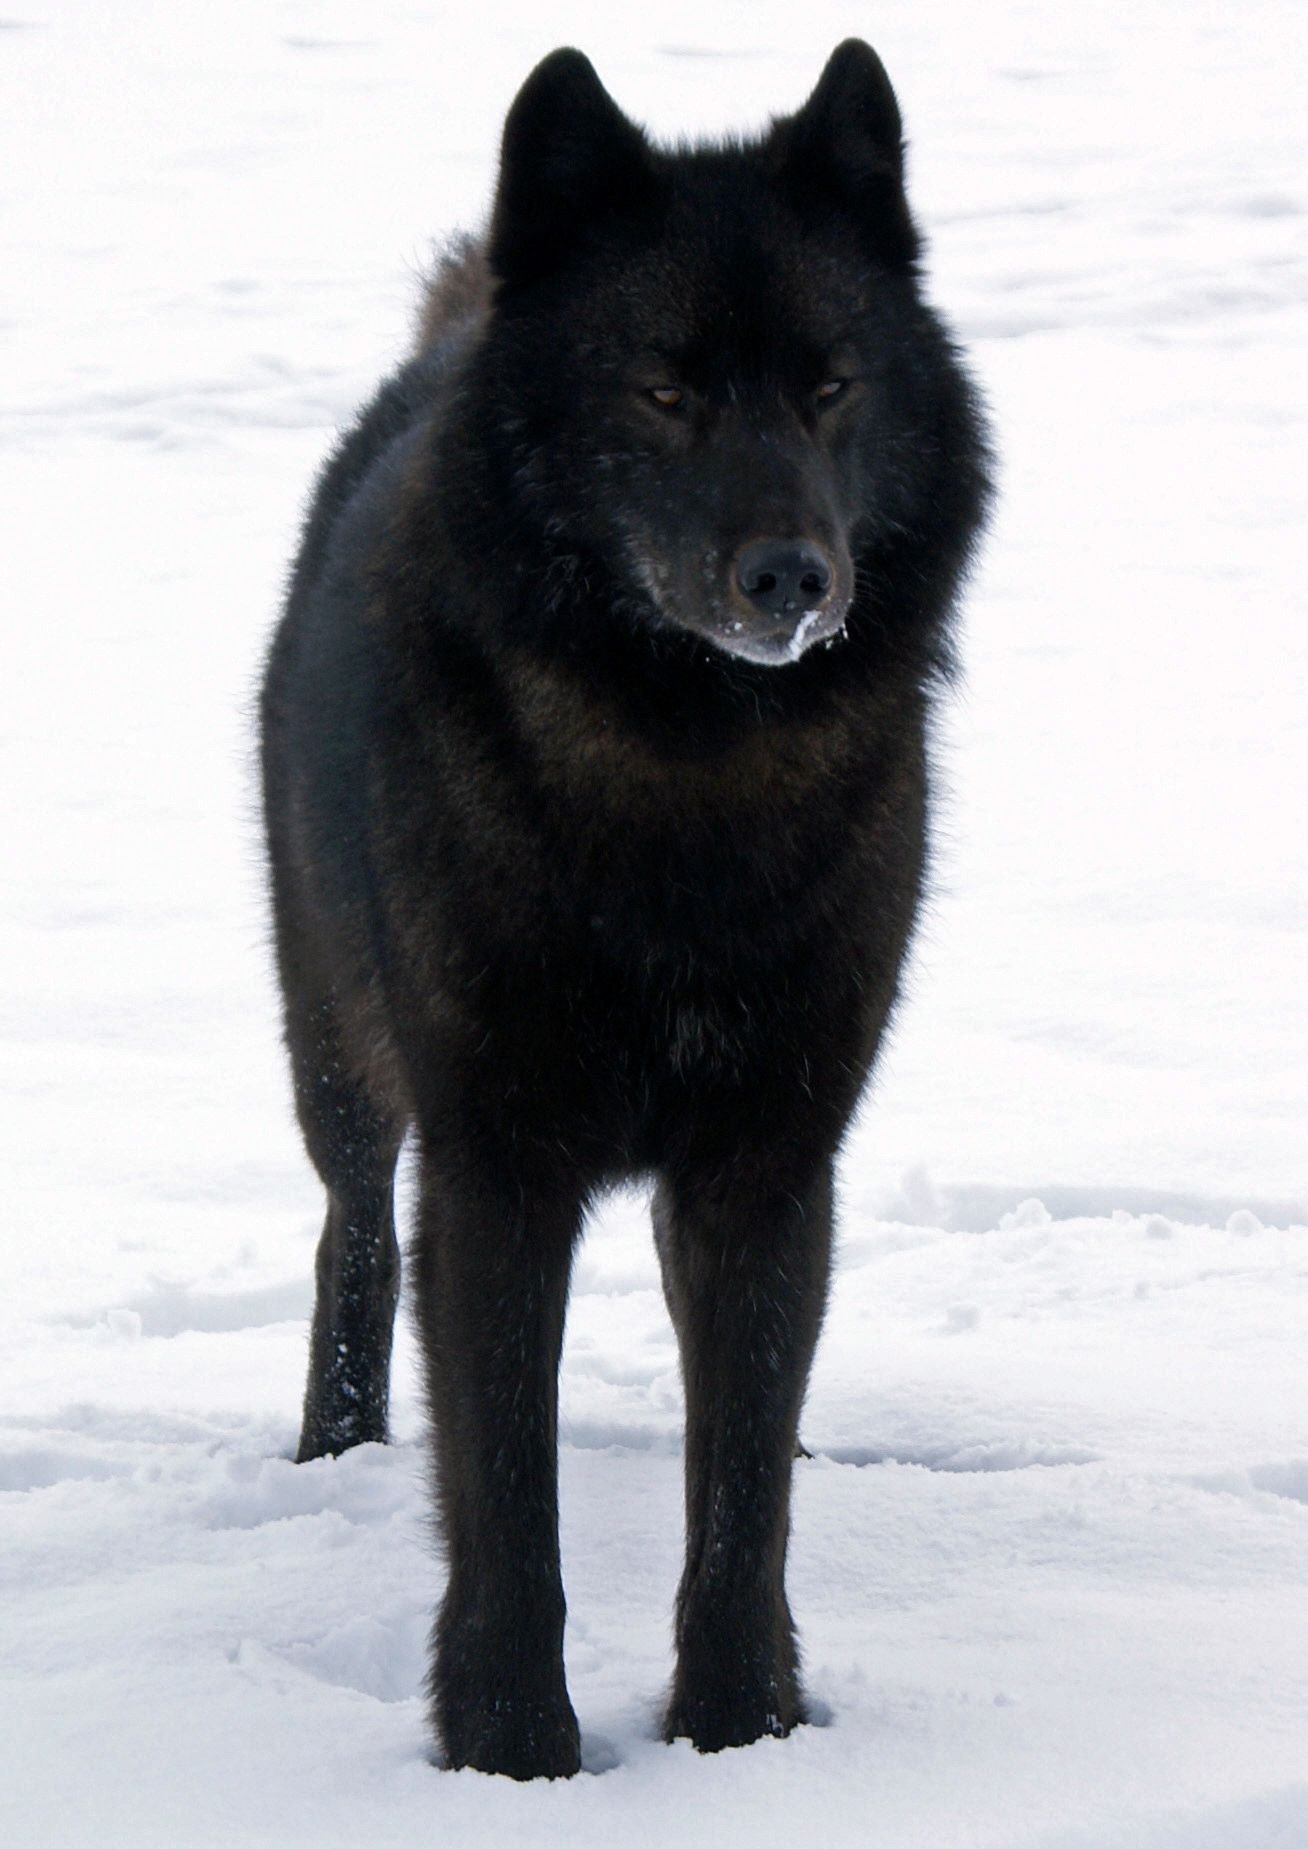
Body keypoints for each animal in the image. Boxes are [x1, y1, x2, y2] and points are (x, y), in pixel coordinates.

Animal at [260, 39, 984, 1775]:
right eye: (661, 389)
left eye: (830, 385)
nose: (793, 578)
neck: (687, 794)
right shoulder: (496, 1169)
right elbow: (506, 1496)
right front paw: (513, 1749)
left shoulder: (769, 1168)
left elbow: (745, 1486)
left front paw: (744, 1736)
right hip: (336, 1054)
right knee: (347, 1237)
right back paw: (338, 1451)